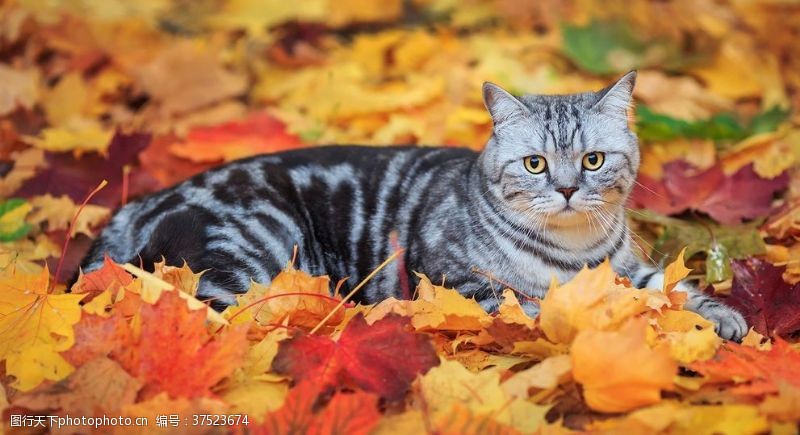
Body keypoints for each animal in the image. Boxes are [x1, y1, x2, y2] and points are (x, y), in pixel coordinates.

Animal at [78, 71, 748, 342]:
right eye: (535, 165)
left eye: (592, 161)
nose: (563, 189)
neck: (576, 250)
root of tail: (141, 203)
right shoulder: (458, 282)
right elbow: (539, 307)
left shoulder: (633, 267)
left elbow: (671, 288)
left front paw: (720, 316)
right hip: (254, 254)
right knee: (215, 314)